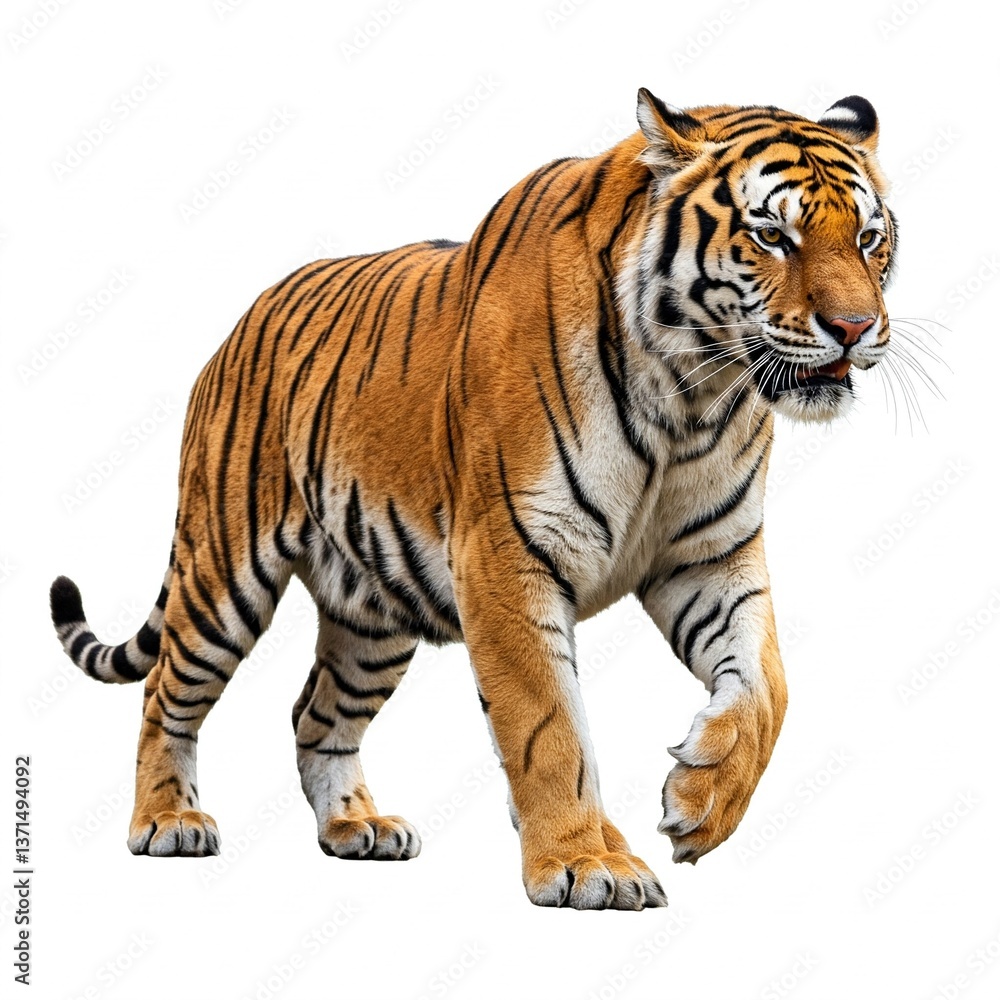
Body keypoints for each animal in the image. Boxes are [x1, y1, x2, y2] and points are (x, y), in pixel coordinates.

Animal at [49, 88, 897, 910]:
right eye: (772, 236)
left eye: (868, 238)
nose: (856, 327)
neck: (692, 395)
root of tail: (240, 321)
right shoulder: (507, 557)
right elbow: (549, 726)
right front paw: (586, 863)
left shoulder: (711, 558)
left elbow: (767, 689)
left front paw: (702, 802)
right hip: (224, 572)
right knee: (164, 691)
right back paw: (167, 820)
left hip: (374, 613)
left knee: (315, 713)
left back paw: (356, 826)